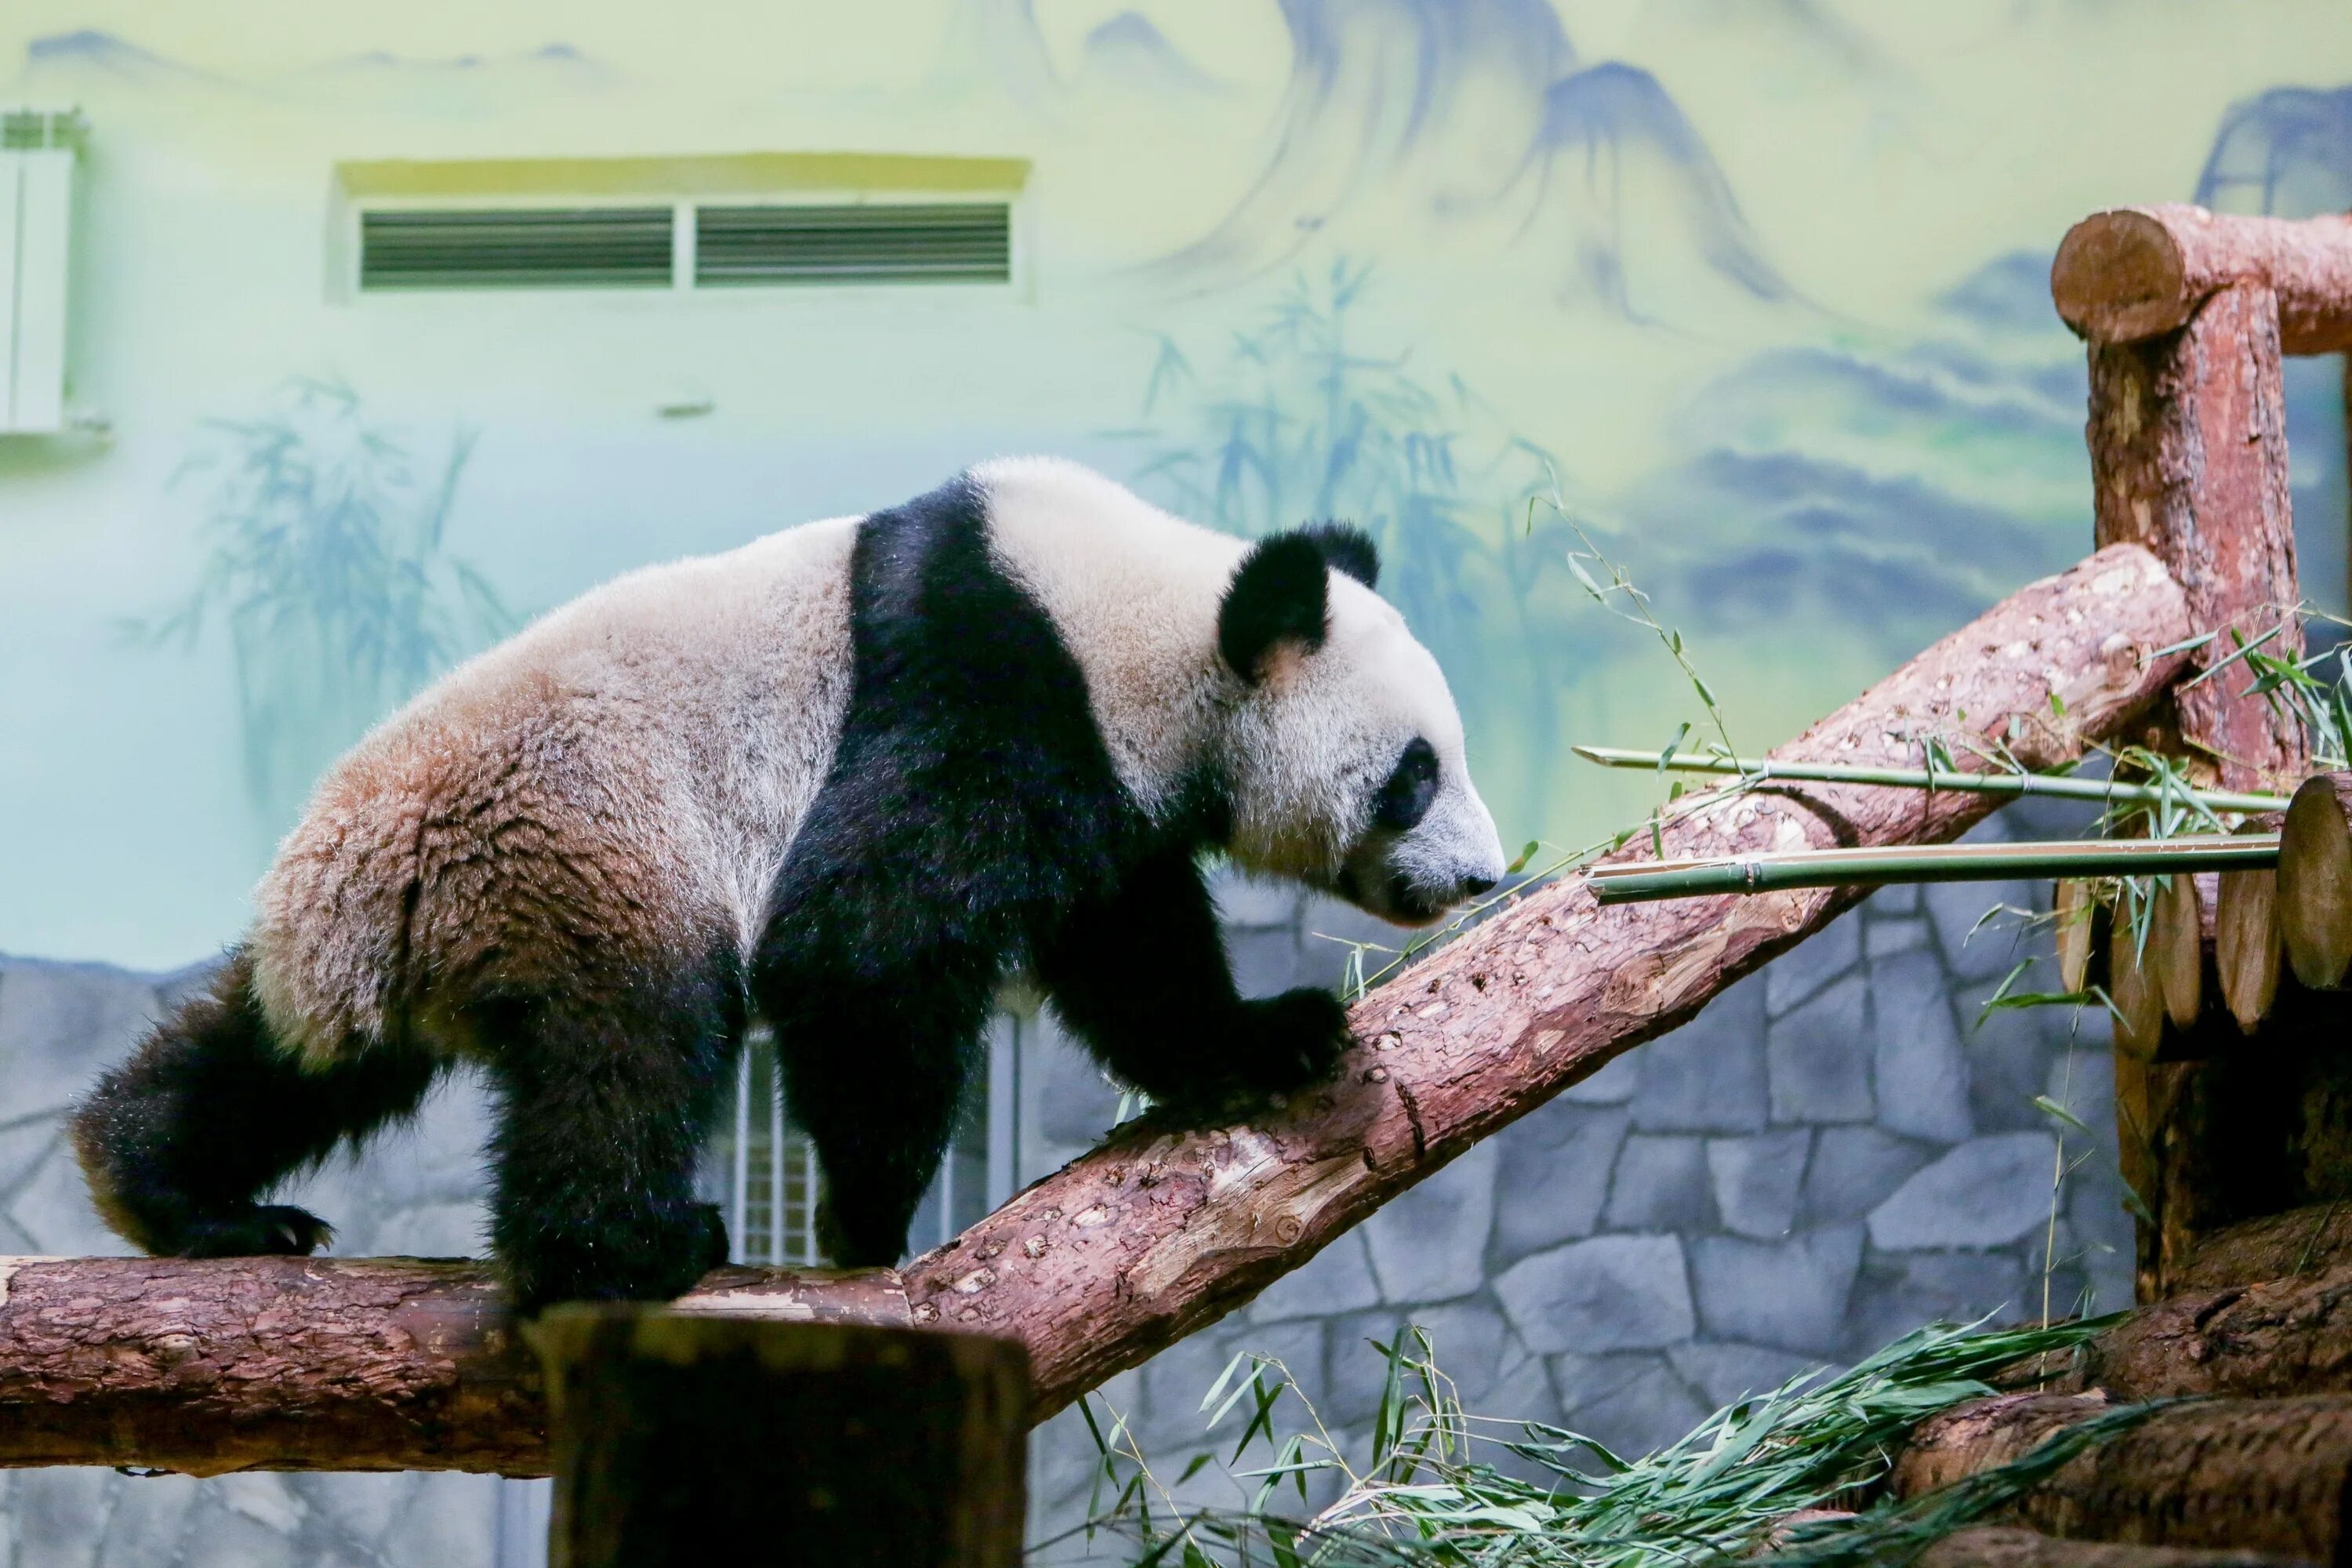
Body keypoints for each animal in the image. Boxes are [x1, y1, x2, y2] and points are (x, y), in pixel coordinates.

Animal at [78, 456, 1505, 1316]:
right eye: (1414, 774)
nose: (1485, 874)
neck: (1150, 618)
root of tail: (361, 881)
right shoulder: (991, 684)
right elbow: (863, 941)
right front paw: (866, 1221)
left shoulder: (1111, 780)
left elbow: (1133, 954)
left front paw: (1269, 1036)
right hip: (581, 843)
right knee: (629, 1043)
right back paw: (631, 1250)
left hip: (390, 930)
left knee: (284, 1058)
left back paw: (174, 1191)